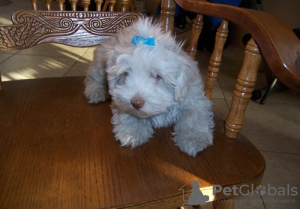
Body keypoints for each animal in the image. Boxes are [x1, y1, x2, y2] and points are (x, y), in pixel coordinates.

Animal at [84, 18, 214, 156]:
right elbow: (127, 112)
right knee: (93, 76)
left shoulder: (193, 95)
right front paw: (132, 133)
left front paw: (194, 139)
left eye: (157, 76)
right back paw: (95, 91)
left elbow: (195, 114)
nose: (136, 103)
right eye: (126, 74)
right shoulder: (120, 99)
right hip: (100, 61)